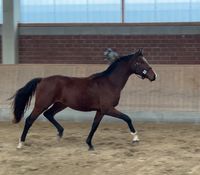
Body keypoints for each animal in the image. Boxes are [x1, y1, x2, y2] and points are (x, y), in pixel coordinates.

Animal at [10, 48, 156, 150]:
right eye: (140, 62)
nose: (153, 76)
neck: (109, 83)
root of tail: (42, 79)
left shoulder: (100, 111)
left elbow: (94, 126)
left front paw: (89, 144)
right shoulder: (108, 109)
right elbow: (127, 118)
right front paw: (135, 138)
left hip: (60, 104)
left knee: (48, 114)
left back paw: (60, 134)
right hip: (42, 104)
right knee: (30, 120)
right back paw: (20, 144)